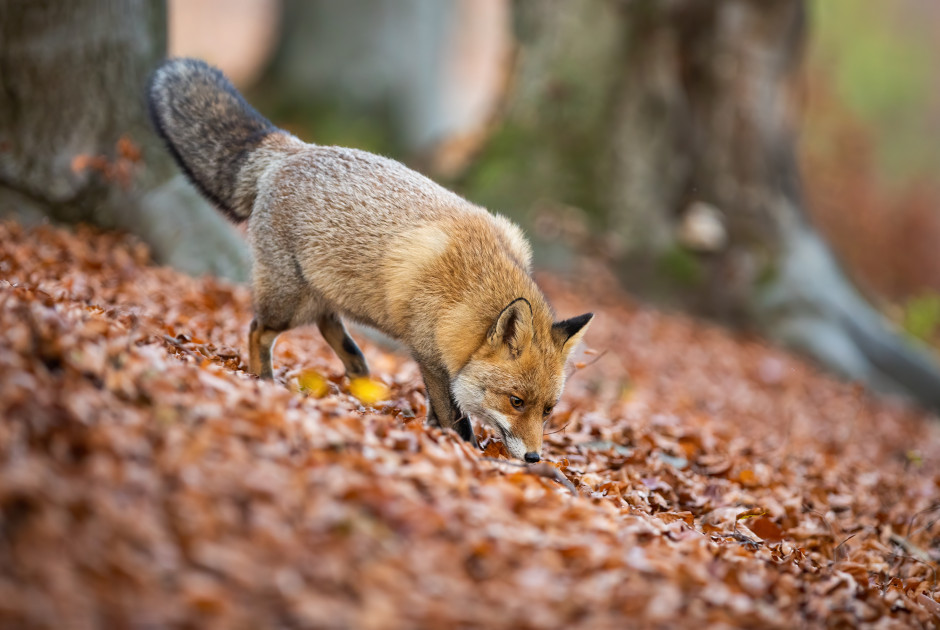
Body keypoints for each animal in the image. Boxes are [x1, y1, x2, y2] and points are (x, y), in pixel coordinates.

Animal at [148, 60, 592, 464]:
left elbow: (441, 412)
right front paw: (463, 451)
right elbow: (454, 416)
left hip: (323, 291)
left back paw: (359, 378)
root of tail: (295, 149)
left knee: (329, 326)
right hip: (289, 302)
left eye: (548, 410)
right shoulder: (429, 355)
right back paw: (265, 382)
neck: (468, 293)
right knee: (259, 330)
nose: (534, 458)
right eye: (516, 401)